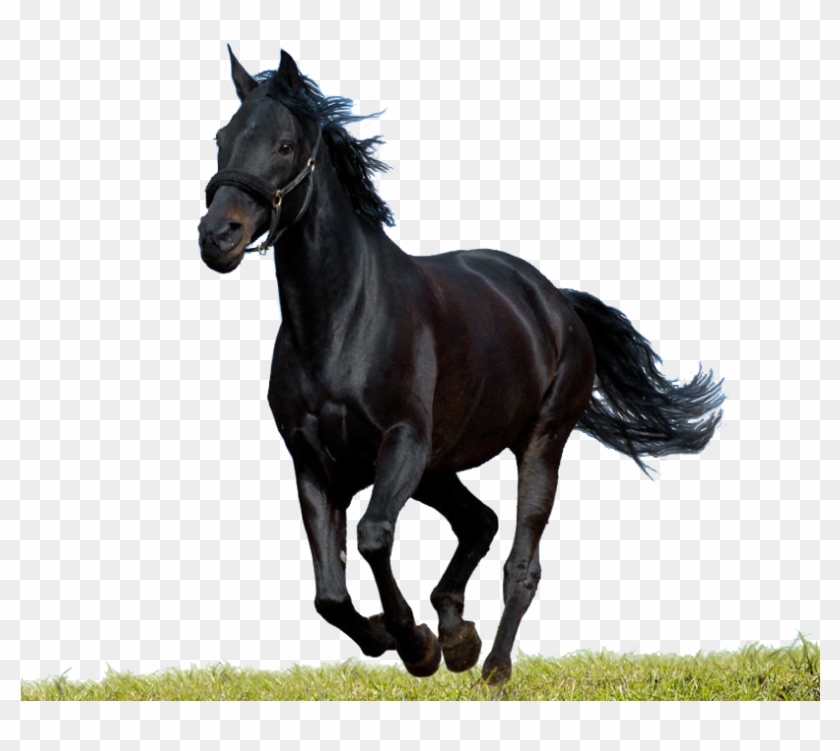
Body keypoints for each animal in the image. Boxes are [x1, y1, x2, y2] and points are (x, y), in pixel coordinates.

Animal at [198, 47, 725, 686]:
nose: (217, 236)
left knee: (520, 562)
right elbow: (330, 594)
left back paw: (490, 667)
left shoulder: (402, 442)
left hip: (537, 442)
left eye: (284, 145)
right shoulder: (313, 463)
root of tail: (554, 301)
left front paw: (415, 643)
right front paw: (403, 637)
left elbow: (373, 538)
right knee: (480, 523)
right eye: (222, 138)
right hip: (438, 468)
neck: (341, 321)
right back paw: (458, 634)